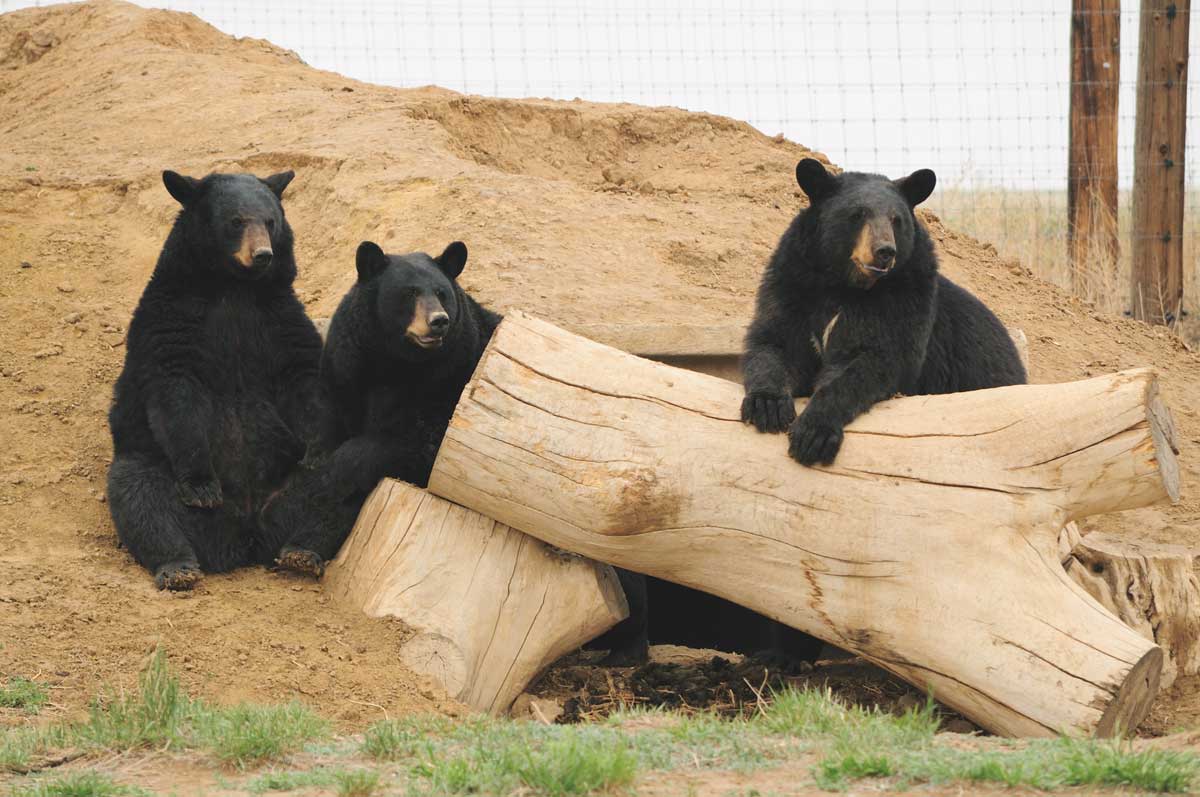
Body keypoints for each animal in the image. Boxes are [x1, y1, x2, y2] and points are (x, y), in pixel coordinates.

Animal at [106, 169, 332, 590]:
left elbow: (304, 376)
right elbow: (177, 391)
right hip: (149, 464)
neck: (234, 287)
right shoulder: (171, 318)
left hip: (289, 490)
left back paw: (303, 552)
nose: (263, 255)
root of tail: (246, 537)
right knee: (140, 495)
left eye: (271, 221)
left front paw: (320, 447)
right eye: (236, 221)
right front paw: (201, 486)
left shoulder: (280, 316)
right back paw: (178, 566)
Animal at [256, 239, 502, 575]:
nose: (439, 321)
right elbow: (326, 429)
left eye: (442, 293)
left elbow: (414, 443)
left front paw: (327, 481)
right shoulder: (346, 369)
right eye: (409, 292)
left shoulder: (451, 381)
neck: (394, 362)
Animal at [741, 158, 1026, 466]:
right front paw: (767, 406)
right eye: (857, 214)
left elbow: (876, 359)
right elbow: (775, 341)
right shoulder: (793, 280)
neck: (844, 284)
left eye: (896, 219)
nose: (885, 251)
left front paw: (814, 433)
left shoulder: (903, 299)